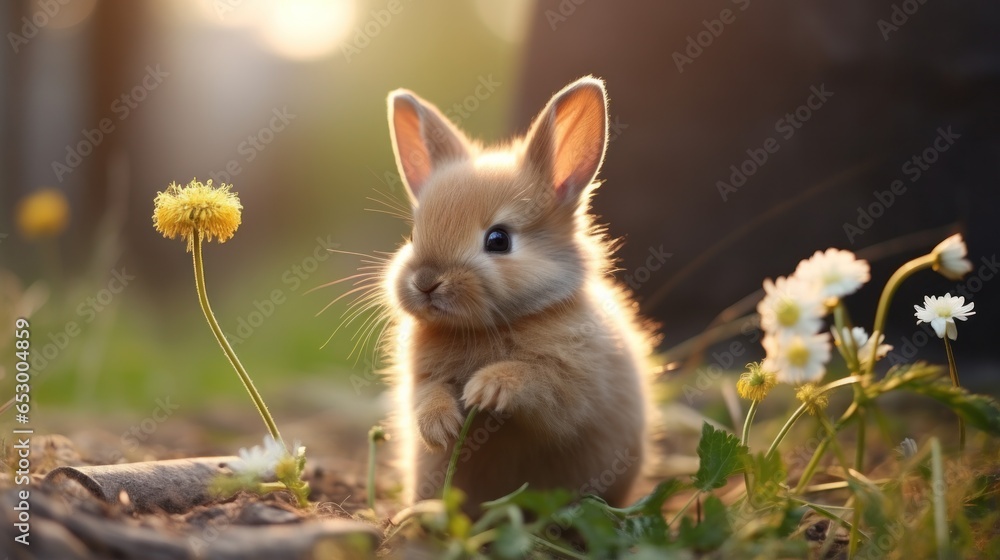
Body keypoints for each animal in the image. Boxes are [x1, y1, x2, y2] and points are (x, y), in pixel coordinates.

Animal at [378, 76, 652, 516]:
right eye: (413, 235)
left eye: (498, 239)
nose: (426, 281)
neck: (483, 328)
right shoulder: (421, 379)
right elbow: (427, 395)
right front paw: (442, 427)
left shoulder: (572, 384)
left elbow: (540, 386)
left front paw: (486, 390)